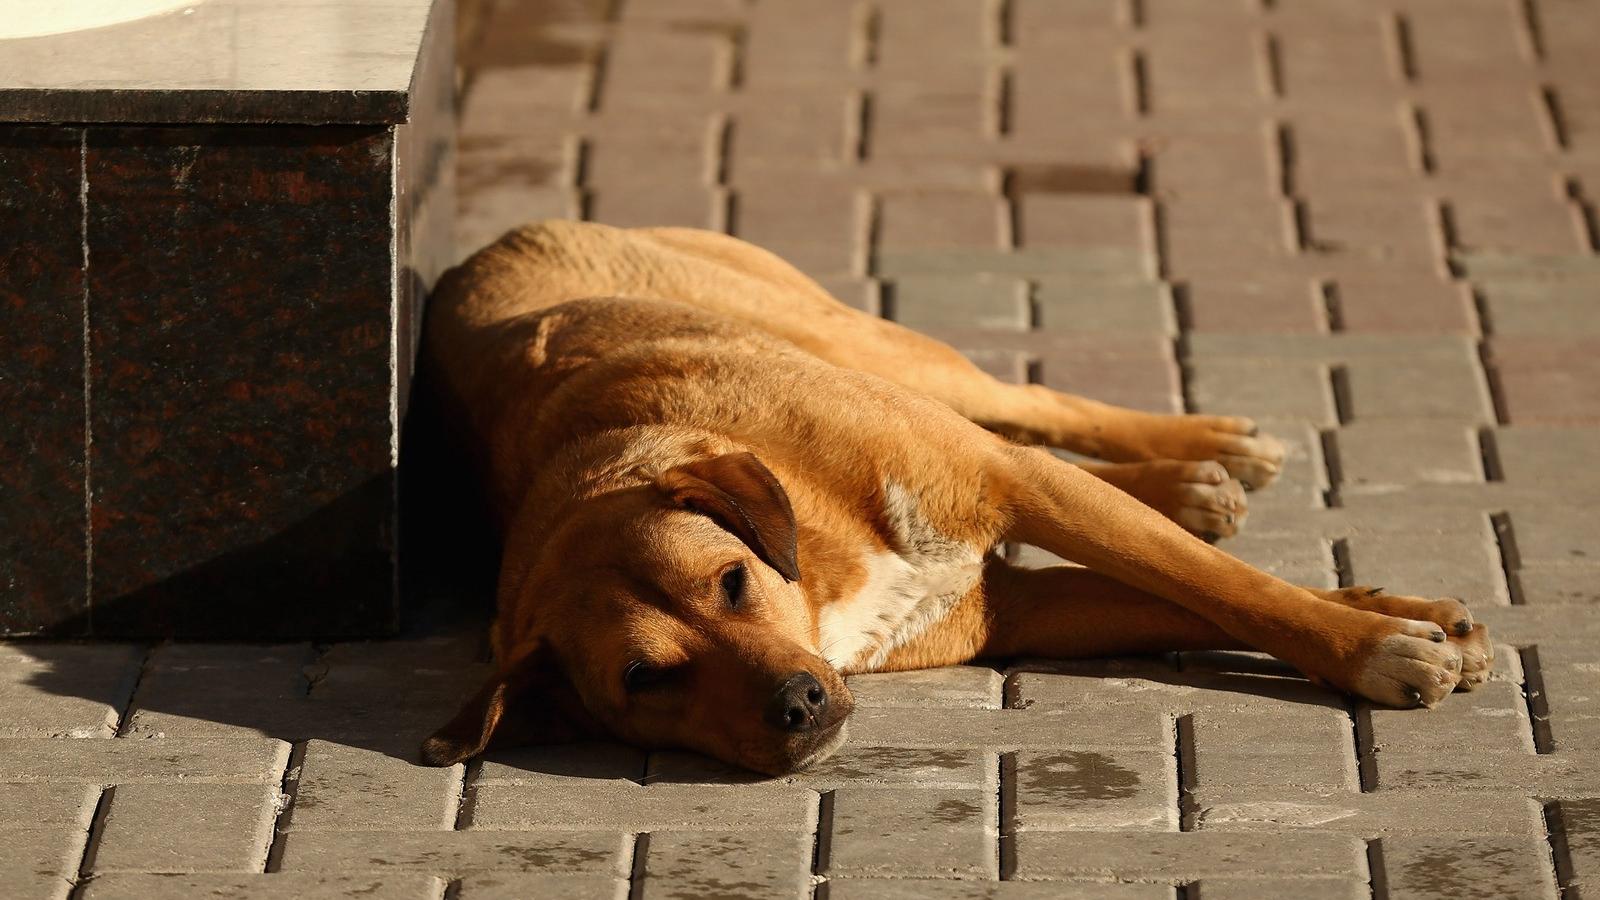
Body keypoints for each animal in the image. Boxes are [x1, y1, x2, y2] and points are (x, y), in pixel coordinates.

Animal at [419, 219, 1491, 771]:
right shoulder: (1013, 608)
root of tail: (486, 246)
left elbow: (1229, 587)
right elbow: (1196, 599)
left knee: (1026, 407)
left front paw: (1376, 640)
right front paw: (1401, 620)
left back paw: (1205, 448)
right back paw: (1193, 483)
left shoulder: (1014, 488)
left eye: (730, 581)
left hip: (867, 344)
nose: (799, 703)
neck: (819, 564)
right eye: (644, 679)